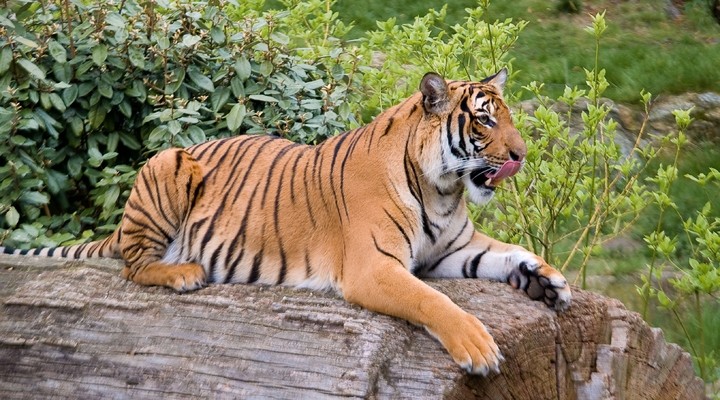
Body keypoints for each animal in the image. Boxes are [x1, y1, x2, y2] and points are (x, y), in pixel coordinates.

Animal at [1, 68, 572, 376]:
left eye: (510, 117)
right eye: (485, 120)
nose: (522, 155)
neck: (443, 191)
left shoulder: (455, 249)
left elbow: (510, 252)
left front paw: (549, 282)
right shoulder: (374, 267)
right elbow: (432, 300)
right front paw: (478, 346)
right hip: (168, 162)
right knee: (133, 265)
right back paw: (183, 273)